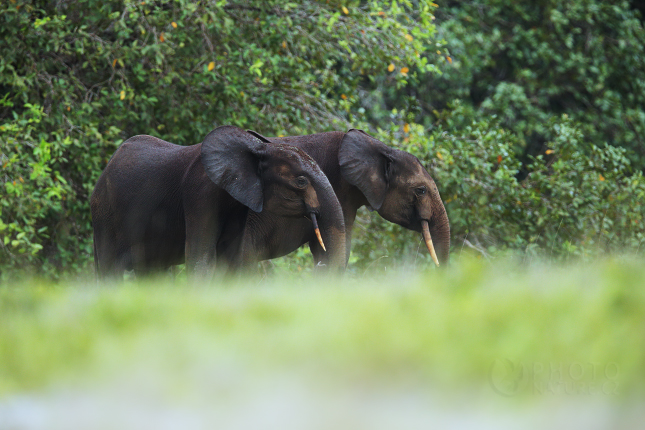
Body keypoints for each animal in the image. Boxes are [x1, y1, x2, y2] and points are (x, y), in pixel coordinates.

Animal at [90, 124, 348, 280]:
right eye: (301, 181)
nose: (321, 264)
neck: (255, 148)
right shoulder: (200, 194)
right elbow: (201, 258)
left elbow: (231, 259)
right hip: (104, 215)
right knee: (110, 272)